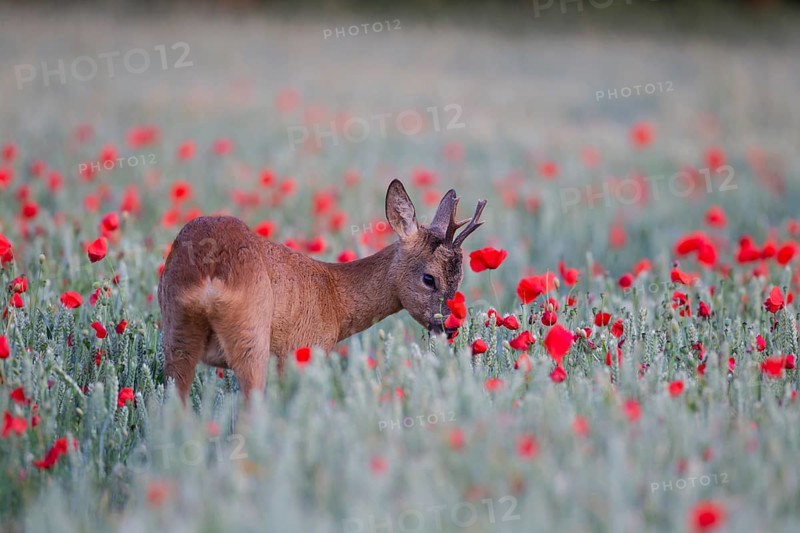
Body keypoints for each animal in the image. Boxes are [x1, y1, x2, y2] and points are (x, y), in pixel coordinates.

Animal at [158, 179, 486, 402]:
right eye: (429, 278)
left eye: (459, 278)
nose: (451, 326)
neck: (335, 297)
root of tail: (209, 270)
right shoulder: (303, 348)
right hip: (251, 337)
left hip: (177, 332)